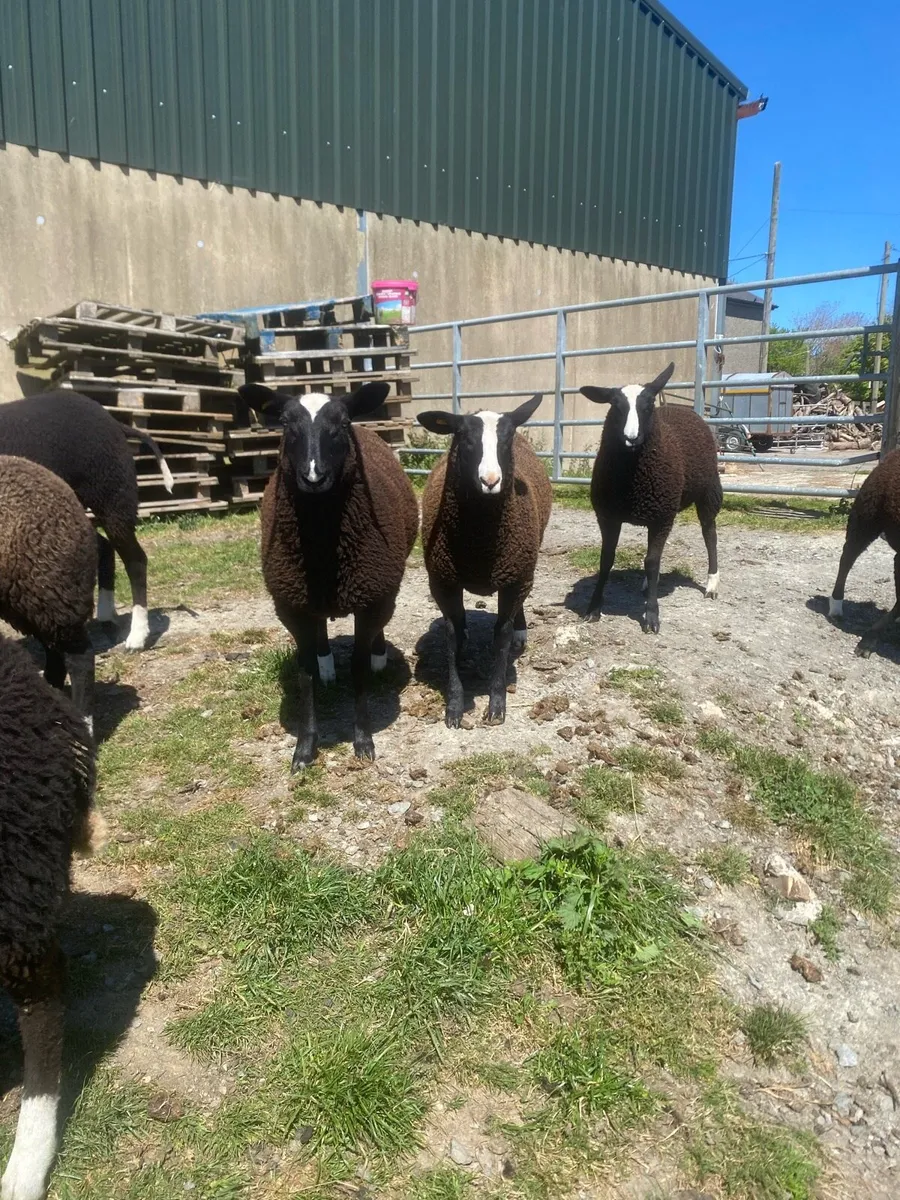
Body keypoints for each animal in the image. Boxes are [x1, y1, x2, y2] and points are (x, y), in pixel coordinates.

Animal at [0, 390, 174, 651]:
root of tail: (113, 421)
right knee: (104, 546)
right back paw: (106, 616)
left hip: (112, 498)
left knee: (134, 559)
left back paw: (137, 635)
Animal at [238, 381, 419, 769]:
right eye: (285, 423)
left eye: (343, 422)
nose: (313, 476)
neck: (323, 545)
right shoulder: (291, 605)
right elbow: (303, 673)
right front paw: (305, 748)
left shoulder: (372, 596)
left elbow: (358, 668)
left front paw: (363, 741)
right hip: (309, 596)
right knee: (320, 629)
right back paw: (326, 667)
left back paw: (379, 657)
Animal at [418, 394, 552, 727]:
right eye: (464, 438)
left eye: (506, 439)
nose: (490, 481)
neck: (480, 541)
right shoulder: (442, 581)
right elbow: (451, 637)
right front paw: (454, 705)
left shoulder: (515, 576)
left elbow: (501, 637)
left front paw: (496, 704)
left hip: (523, 568)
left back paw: (520, 631)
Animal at [579, 362, 722, 633]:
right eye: (616, 406)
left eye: (648, 406)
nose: (631, 438)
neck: (632, 482)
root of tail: (682, 409)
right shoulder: (608, 516)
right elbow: (606, 559)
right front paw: (593, 608)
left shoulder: (661, 518)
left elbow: (652, 562)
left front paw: (652, 616)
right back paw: (648, 585)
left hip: (706, 493)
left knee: (710, 535)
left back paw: (711, 584)